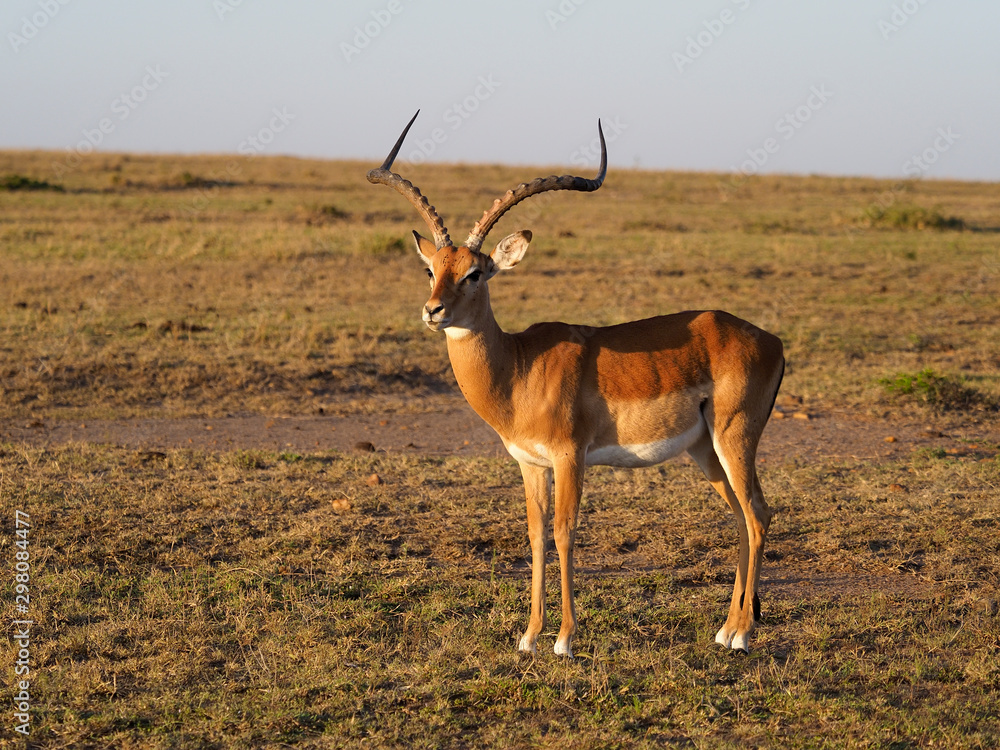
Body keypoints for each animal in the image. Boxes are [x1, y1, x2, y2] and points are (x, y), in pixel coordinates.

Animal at [367, 112, 785, 655]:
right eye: (431, 268)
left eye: (476, 273)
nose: (433, 311)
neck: (519, 368)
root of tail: (771, 340)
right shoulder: (530, 463)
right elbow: (536, 535)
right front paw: (529, 636)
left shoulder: (570, 455)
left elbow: (565, 532)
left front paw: (564, 638)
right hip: (705, 450)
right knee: (740, 516)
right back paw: (727, 629)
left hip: (735, 439)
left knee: (758, 514)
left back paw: (744, 635)